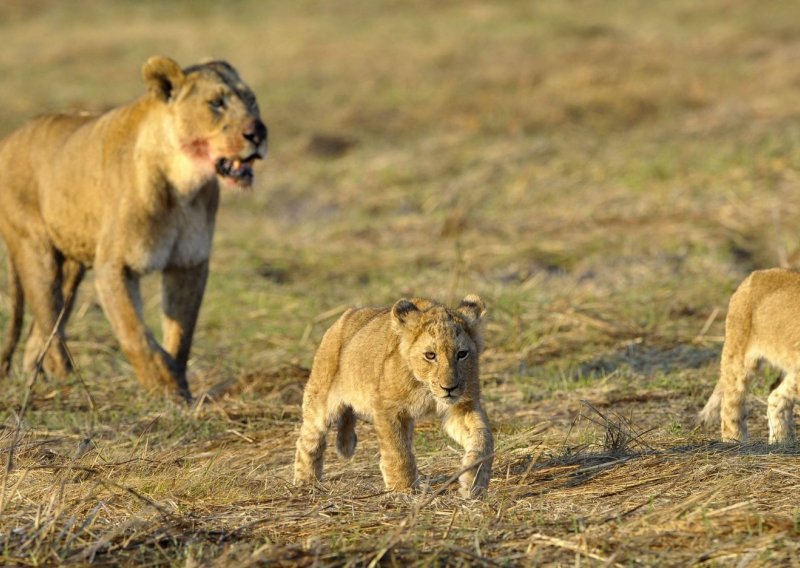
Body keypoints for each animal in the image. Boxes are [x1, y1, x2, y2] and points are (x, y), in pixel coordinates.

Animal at [0, 55, 270, 398]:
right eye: (216, 103)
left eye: (251, 100)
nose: (258, 132)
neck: (183, 186)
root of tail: (11, 137)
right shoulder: (115, 266)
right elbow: (136, 334)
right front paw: (165, 387)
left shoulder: (189, 263)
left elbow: (181, 334)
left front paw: (180, 387)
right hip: (36, 252)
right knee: (51, 327)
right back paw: (72, 385)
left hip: (72, 264)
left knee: (41, 333)